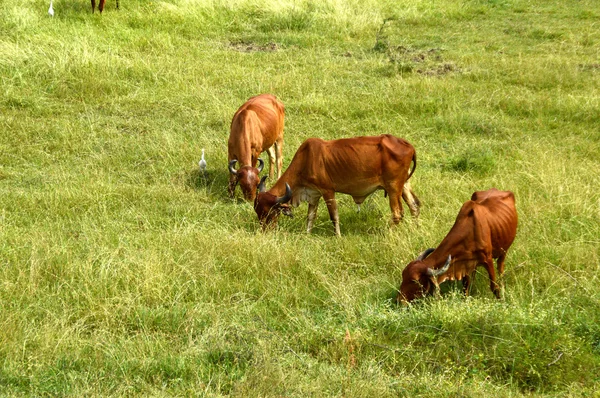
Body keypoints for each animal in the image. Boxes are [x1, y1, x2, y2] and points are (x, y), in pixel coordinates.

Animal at [253, 135, 422, 236]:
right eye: (258, 211)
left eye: (269, 213)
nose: (263, 231)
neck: (307, 159)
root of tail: (409, 146)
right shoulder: (314, 194)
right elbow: (310, 217)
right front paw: (307, 234)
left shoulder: (328, 191)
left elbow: (334, 215)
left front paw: (338, 236)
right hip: (403, 185)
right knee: (414, 206)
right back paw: (415, 229)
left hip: (393, 187)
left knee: (397, 213)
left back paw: (389, 233)